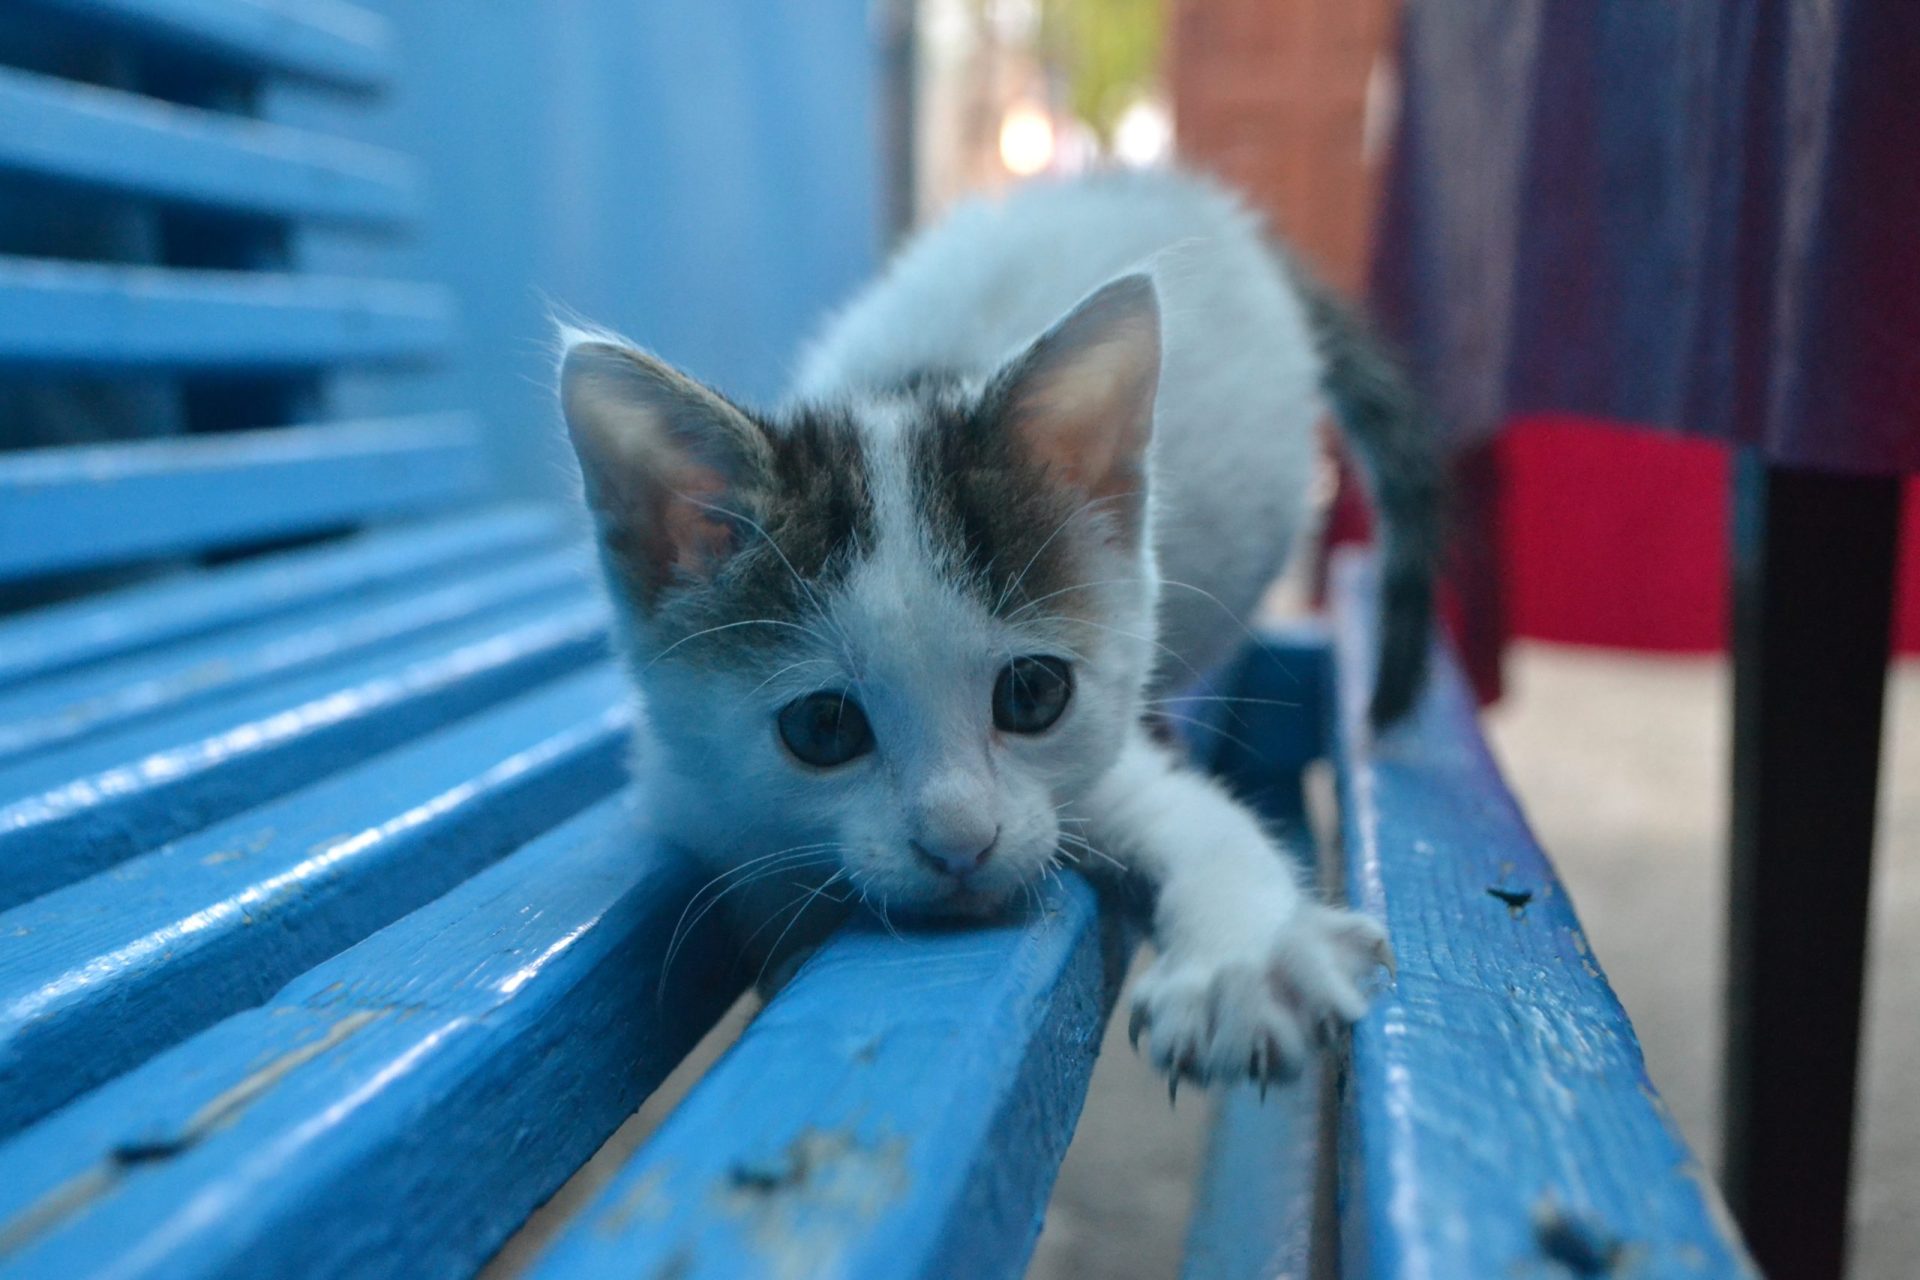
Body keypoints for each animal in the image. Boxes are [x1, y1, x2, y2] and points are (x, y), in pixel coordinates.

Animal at [560, 169, 1436, 1090]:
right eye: (823, 728)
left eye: (1034, 694)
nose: (960, 845)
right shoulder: (702, 804)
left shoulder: (1100, 774)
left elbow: (1201, 824)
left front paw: (1246, 964)